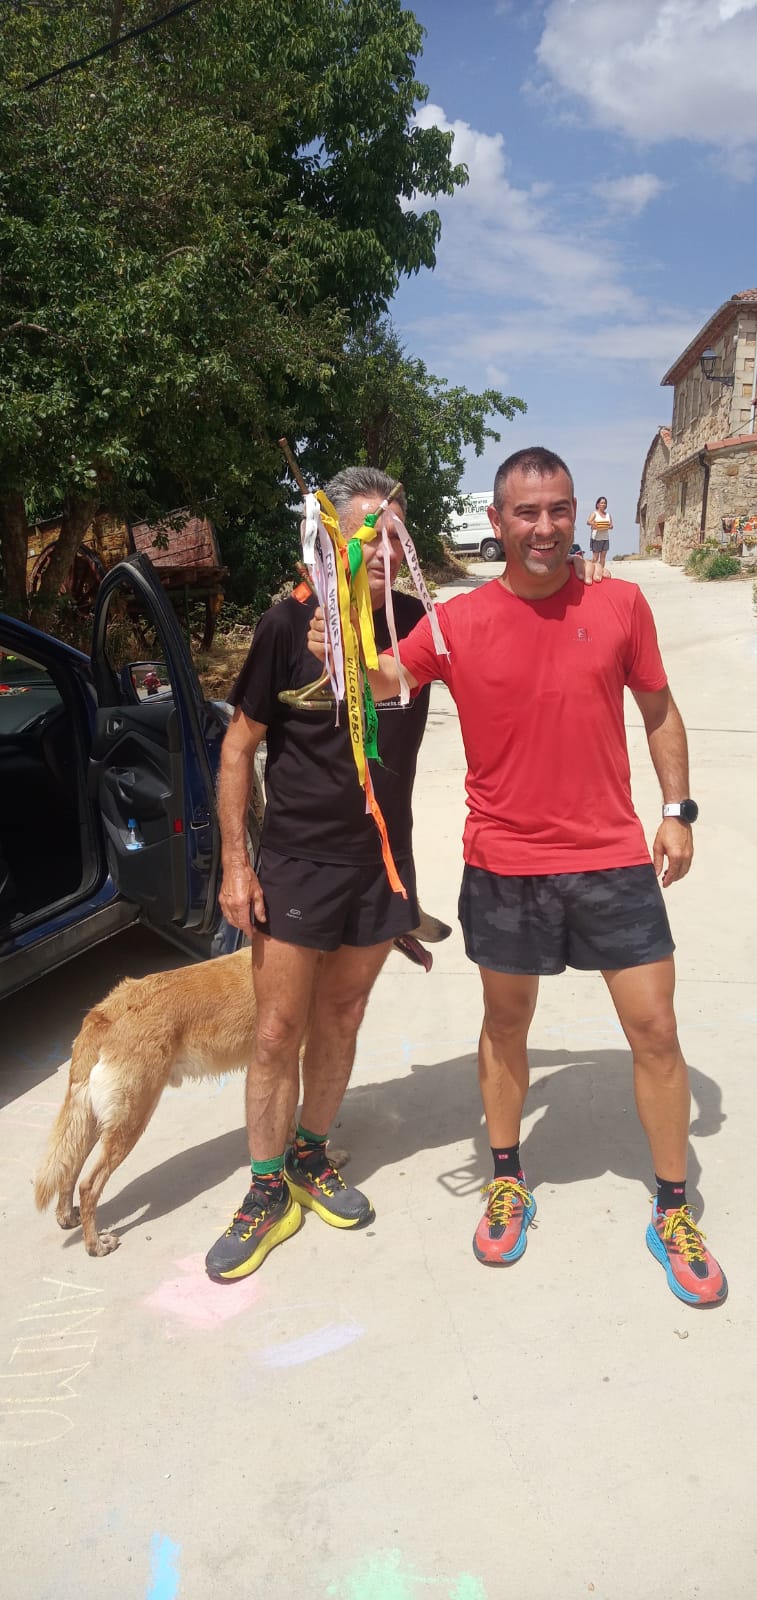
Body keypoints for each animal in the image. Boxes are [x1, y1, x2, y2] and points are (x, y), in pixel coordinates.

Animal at [34, 911, 451, 1257]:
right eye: (413, 911)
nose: (446, 929)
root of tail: (105, 1011)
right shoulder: (297, 1055)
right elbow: (298, 1124)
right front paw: (320, 1159)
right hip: (131, 1118)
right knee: (89, 1184)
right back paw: (95, 1244)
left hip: (95, 1119)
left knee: (70, 1169)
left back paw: (67, 1217)